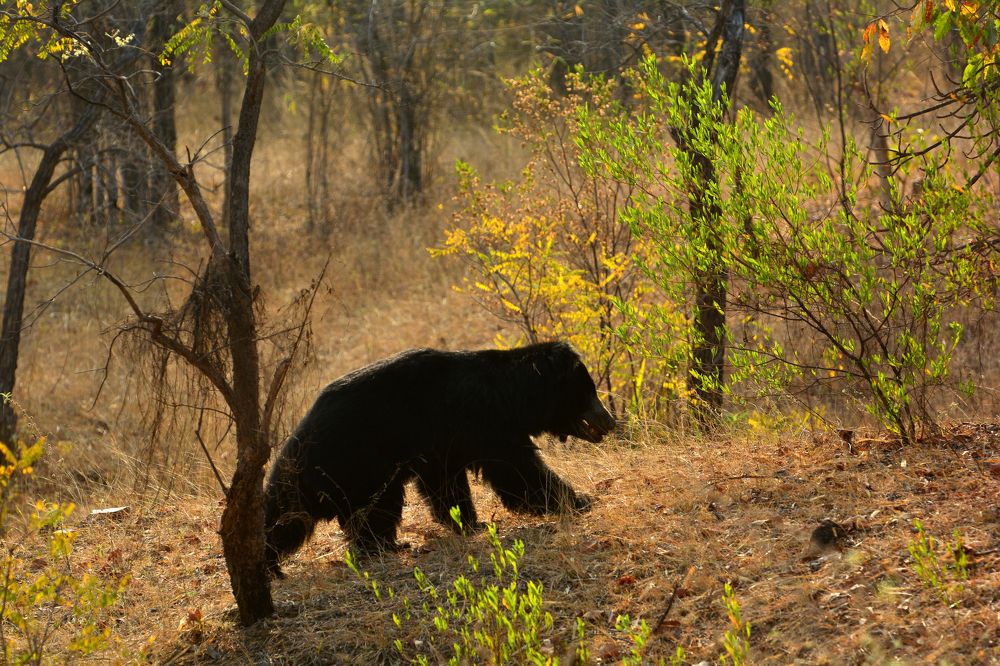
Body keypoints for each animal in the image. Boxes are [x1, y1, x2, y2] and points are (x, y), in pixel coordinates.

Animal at [263, 341, 615, 577]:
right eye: (588, 392)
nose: (610, 421)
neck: (510, 397)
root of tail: (297, 441)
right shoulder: (482, 426)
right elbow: (516, 472)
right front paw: (579, 500)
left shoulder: (444, 445)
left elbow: (446, 485)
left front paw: (471, 523)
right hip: (352, 462)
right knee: (303, 515)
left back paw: (386, 546)